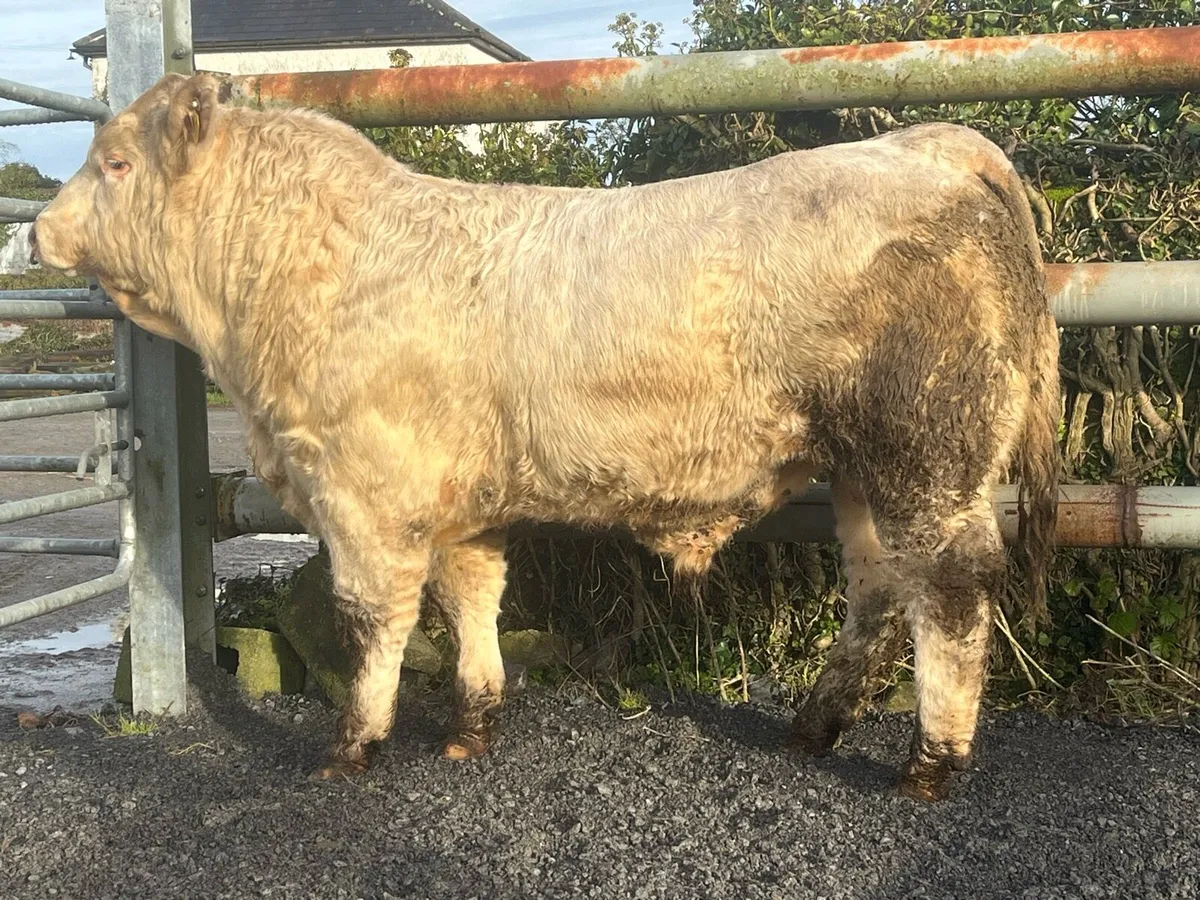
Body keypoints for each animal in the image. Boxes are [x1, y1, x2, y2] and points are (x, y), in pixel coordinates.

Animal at [31, 72, 1060, 802]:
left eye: (115, 163)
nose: (35, 229)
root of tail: (930, 143)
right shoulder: (457, 498)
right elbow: (471, 597)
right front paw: (472, 725)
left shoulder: (365, 496)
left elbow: (374, 620)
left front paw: (353, 746)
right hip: (863, 468)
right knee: (879, 584)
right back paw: (813, 727)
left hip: (929, 451)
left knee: (953, 587)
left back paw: (930, 763)